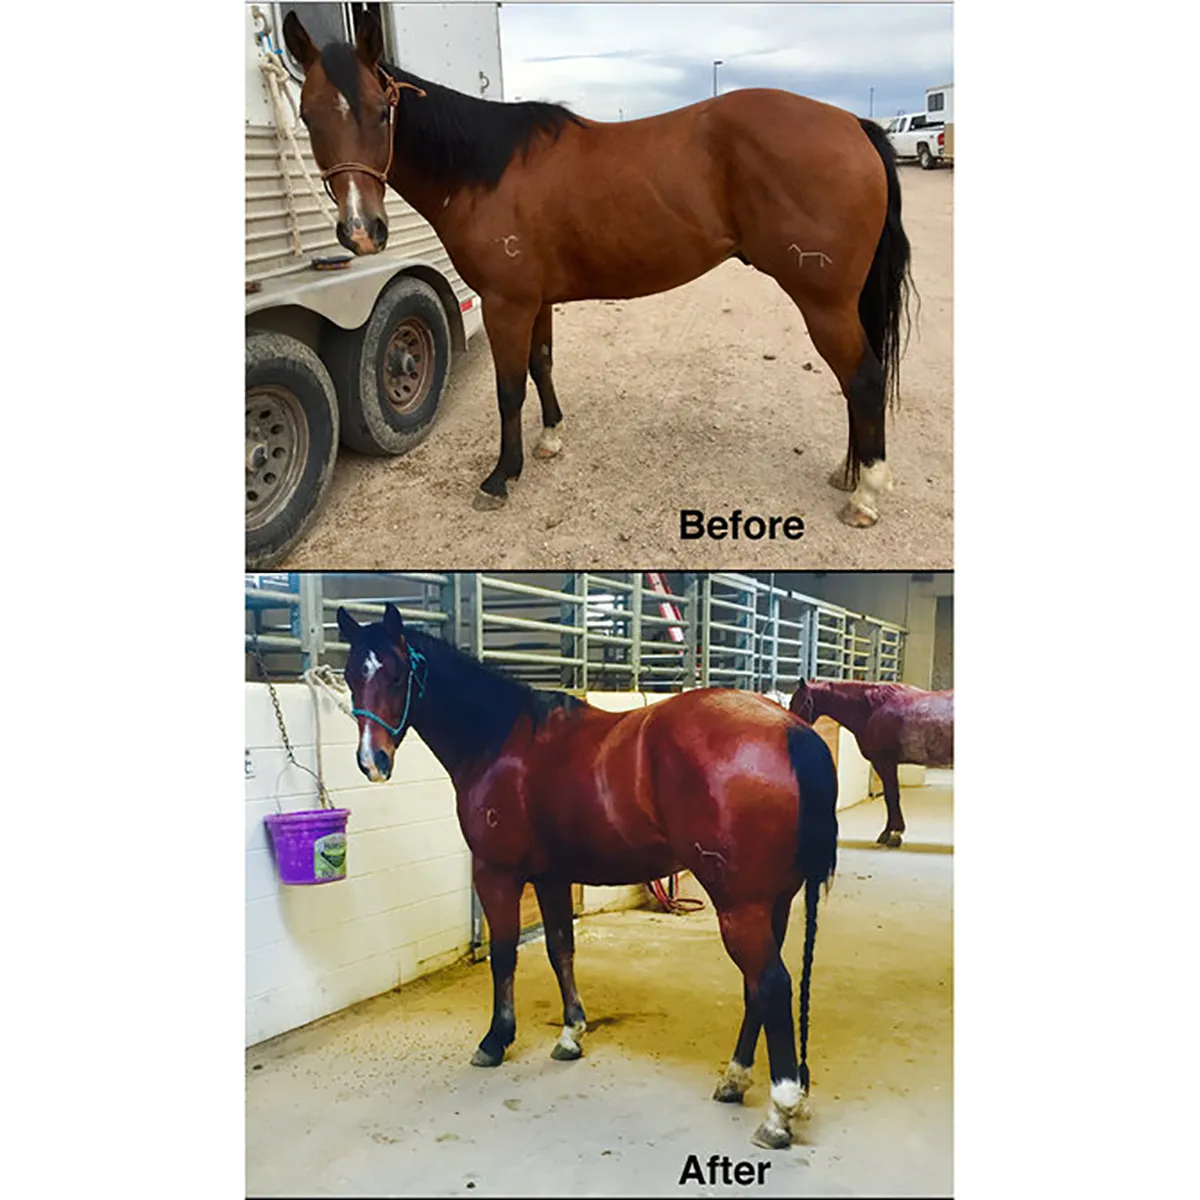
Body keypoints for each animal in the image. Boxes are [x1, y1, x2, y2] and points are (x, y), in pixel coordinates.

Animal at [282, 10, 914, 528]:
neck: (486, 170)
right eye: (307, 116)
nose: (361, 231)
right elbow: (541, 366)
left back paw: (866, 493)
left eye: (380, 111)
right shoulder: (534, 300)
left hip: (823, 300)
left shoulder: (505, 303)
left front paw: (501, 476)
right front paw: (551, 440)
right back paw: (850, 474)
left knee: (862, 377)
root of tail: (853, 123)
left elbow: (508, 388)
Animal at [336, 603, 838, 1149]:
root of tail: (792, 731)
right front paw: (571, 1034)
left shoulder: (496, 873)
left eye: (396, 673)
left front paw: (496, 1039)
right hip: (772, 903)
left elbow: (504, 953)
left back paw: (778, 1113)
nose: (371, 761)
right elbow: (561, 949)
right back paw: (734, 1079)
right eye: (350, 675)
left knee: (771, 985)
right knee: (756, 989)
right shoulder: (552, 876)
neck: (500, 741)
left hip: (739, 907)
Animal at [790, 679, 953, 848]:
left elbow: (891, 796)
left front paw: (892, 833)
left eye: (797, 702)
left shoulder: (884, 761)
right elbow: (891, 795)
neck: (873, 708)